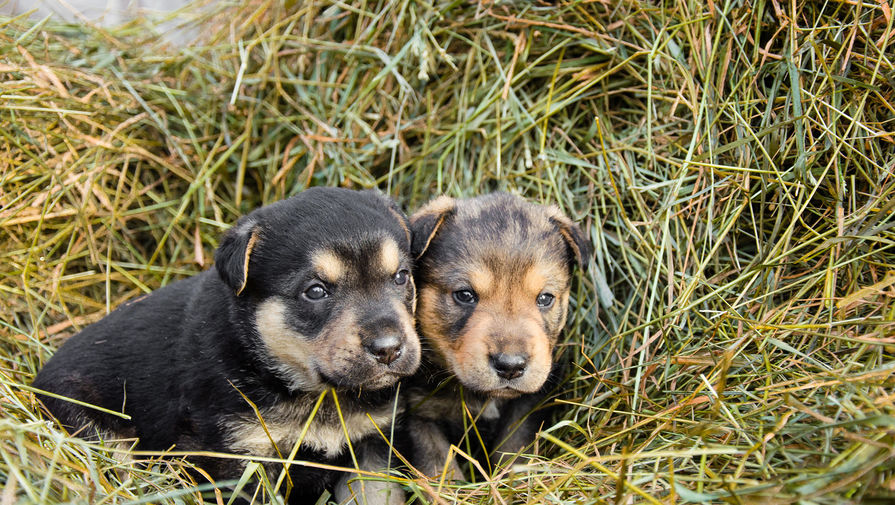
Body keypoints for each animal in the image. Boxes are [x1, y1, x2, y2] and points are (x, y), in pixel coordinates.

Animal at [35, 187, 424, 502]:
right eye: (315, 291)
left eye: (401, 276)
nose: (389, 348)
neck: (318, 395)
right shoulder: (241, 458)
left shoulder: (372, 446)